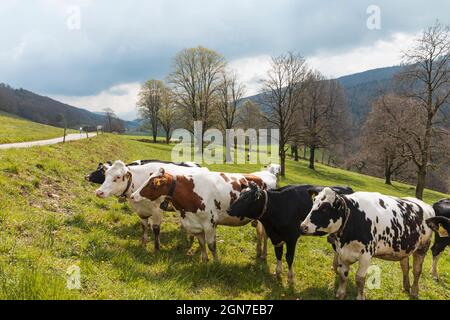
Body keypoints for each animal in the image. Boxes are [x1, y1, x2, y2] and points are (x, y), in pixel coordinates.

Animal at [130, 166, 278, 262]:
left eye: (152, 183)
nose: (132, 195)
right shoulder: (196, 224)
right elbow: (201, 243)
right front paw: (204, 261)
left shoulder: (210, 224)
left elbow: (212, 245)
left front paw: (216, 263)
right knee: (260, 234)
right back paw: (258, 252)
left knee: (265, 235)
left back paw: (263, 254)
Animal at [300, 189, 434, 298]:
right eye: (313, 202)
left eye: (325, 208)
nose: (303, 226)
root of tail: (426, 206)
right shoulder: (341, 253)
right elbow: (343, 275)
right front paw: (340, 294)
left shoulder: (366, 255)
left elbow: (360, 278)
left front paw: (360, 297)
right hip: (404, 249)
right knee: (405, 267)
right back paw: (406, 286)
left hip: (423, 247)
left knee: (417, 271)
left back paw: (414, 291)